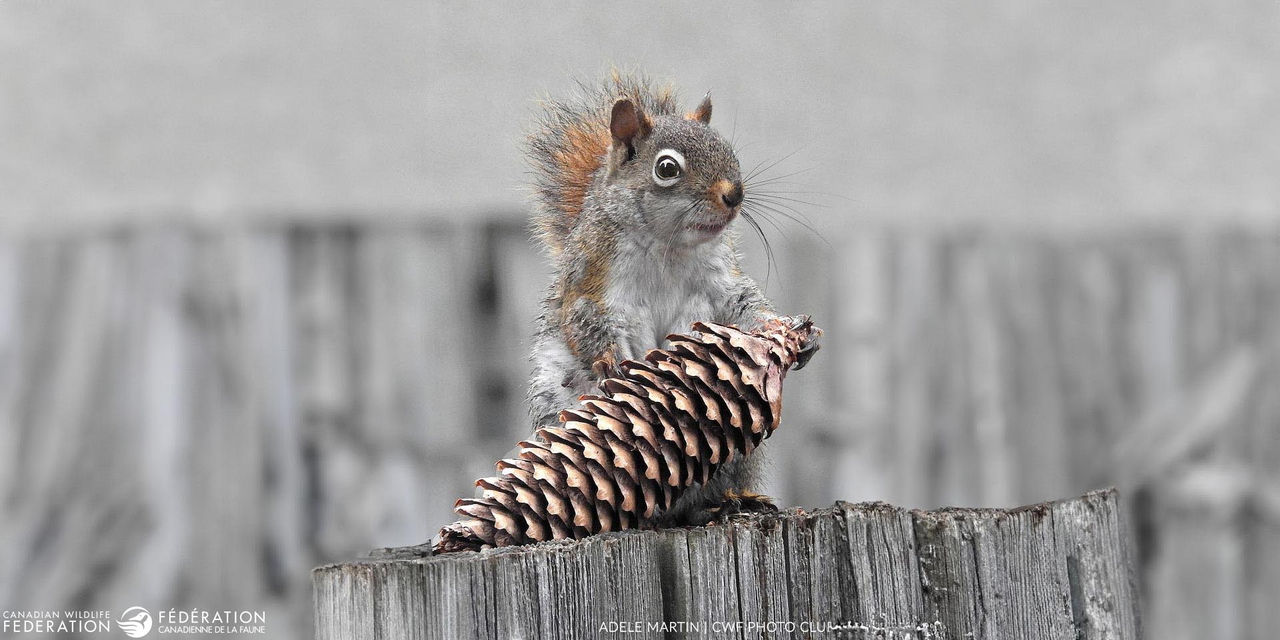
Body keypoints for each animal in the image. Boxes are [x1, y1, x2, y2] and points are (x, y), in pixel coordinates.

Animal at [523, 72, 818, 525]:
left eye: (728, 151)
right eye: (666, 168)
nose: (735, 194)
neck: (669, 246)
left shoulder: (721, 283)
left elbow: (745, 303)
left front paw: (788, 330)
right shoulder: (590, 281)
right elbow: (583, 322)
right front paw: (609, 360)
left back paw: (727, 502)